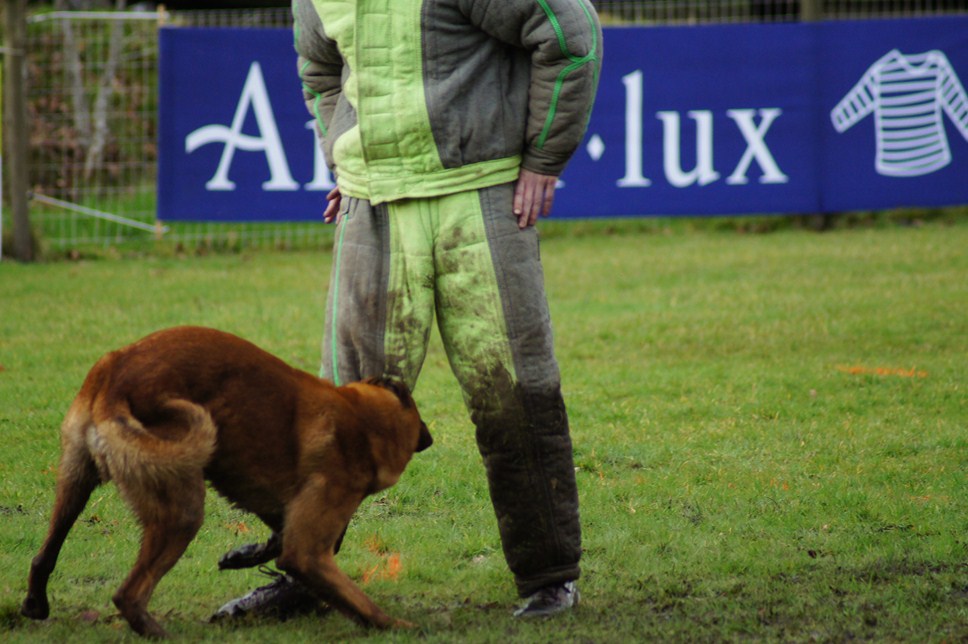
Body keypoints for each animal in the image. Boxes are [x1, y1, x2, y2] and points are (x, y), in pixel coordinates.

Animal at [18, 328, 432, 640]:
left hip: (74, 483)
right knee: (128, 595)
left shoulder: (278, 508)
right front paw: (397, 626)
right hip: (182, 511)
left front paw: (244, 555)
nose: (428, 437)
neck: (363, 421)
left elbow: (282, 539)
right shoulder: (310, 549)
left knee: (45, 554)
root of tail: (113, 377)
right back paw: (159, 633)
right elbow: (354, 596)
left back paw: (35, 602)